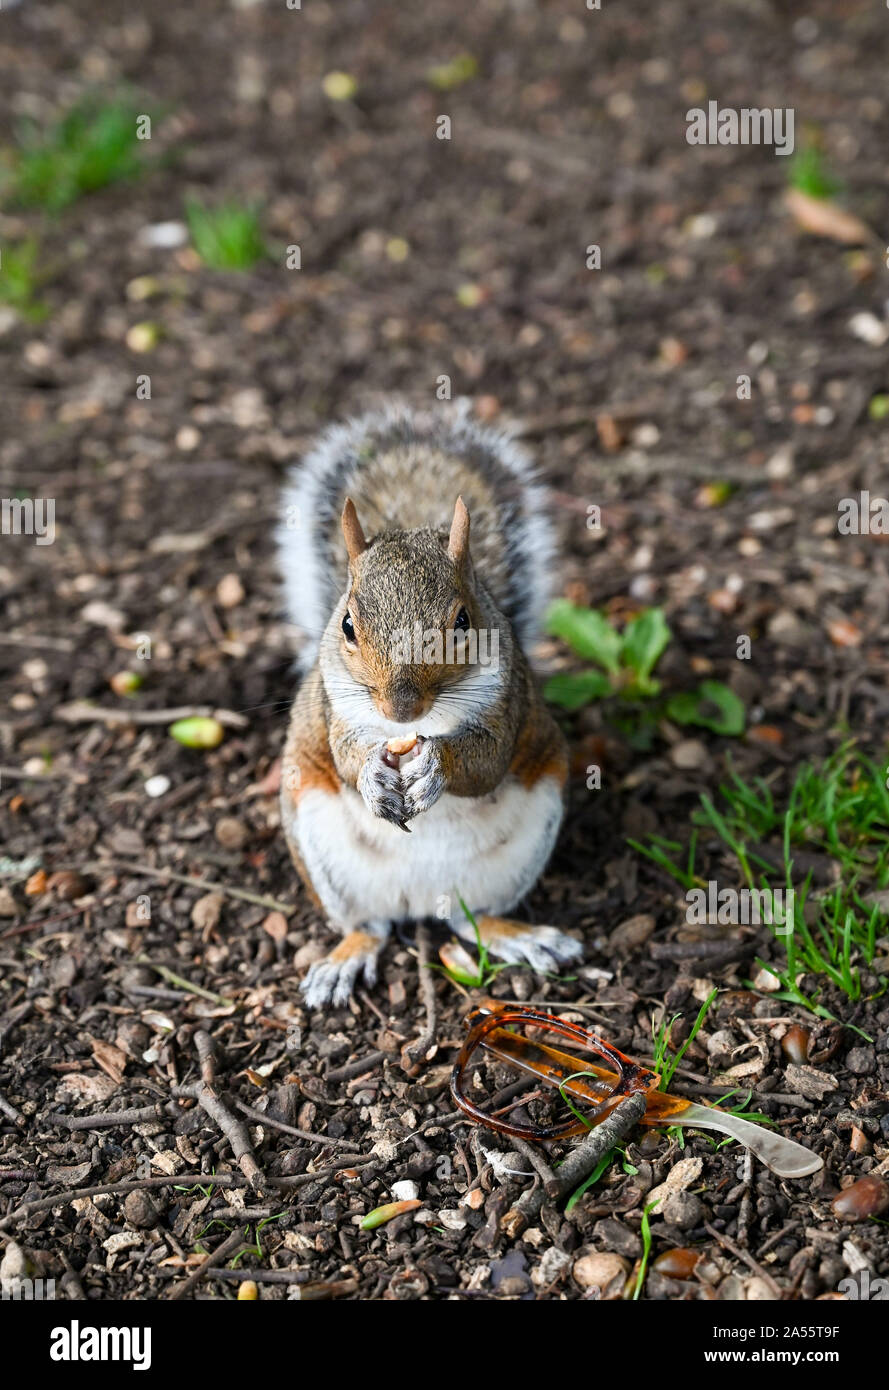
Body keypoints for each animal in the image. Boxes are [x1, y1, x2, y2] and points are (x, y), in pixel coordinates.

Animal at [277, 402, 582, 1007]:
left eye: (463, 621)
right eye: (348, 625)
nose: (400, 710)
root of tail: (421, 900)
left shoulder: (506, 702)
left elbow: (486, 764)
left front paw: (436, 765)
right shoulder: (334, 708)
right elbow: (345, 756)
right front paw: (372, 773)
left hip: (525, 841)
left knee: (472, 920)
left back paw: (522, 937)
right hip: (325, 855)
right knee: (369, 927)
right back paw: (344, 960)